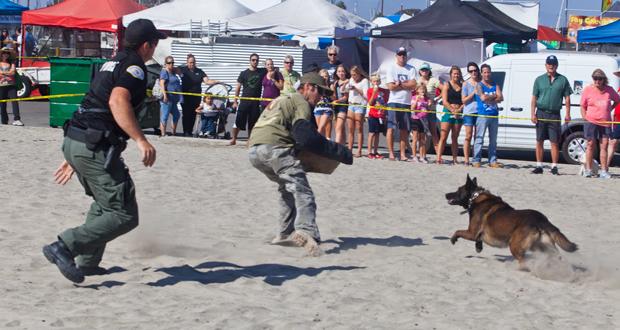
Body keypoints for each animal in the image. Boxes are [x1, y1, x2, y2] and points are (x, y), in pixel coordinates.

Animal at [444, 174, 580, 270]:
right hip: (542, 246)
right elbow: (478, 239)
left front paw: (453, 239)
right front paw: (479, 247)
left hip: (515, 245)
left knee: (524, 262)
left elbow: (458, 231)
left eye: (458, 190)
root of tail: (541, 219)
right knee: (557, 257)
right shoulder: (476, 233)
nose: (446, 194)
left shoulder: (471, 232)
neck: (475, 197)